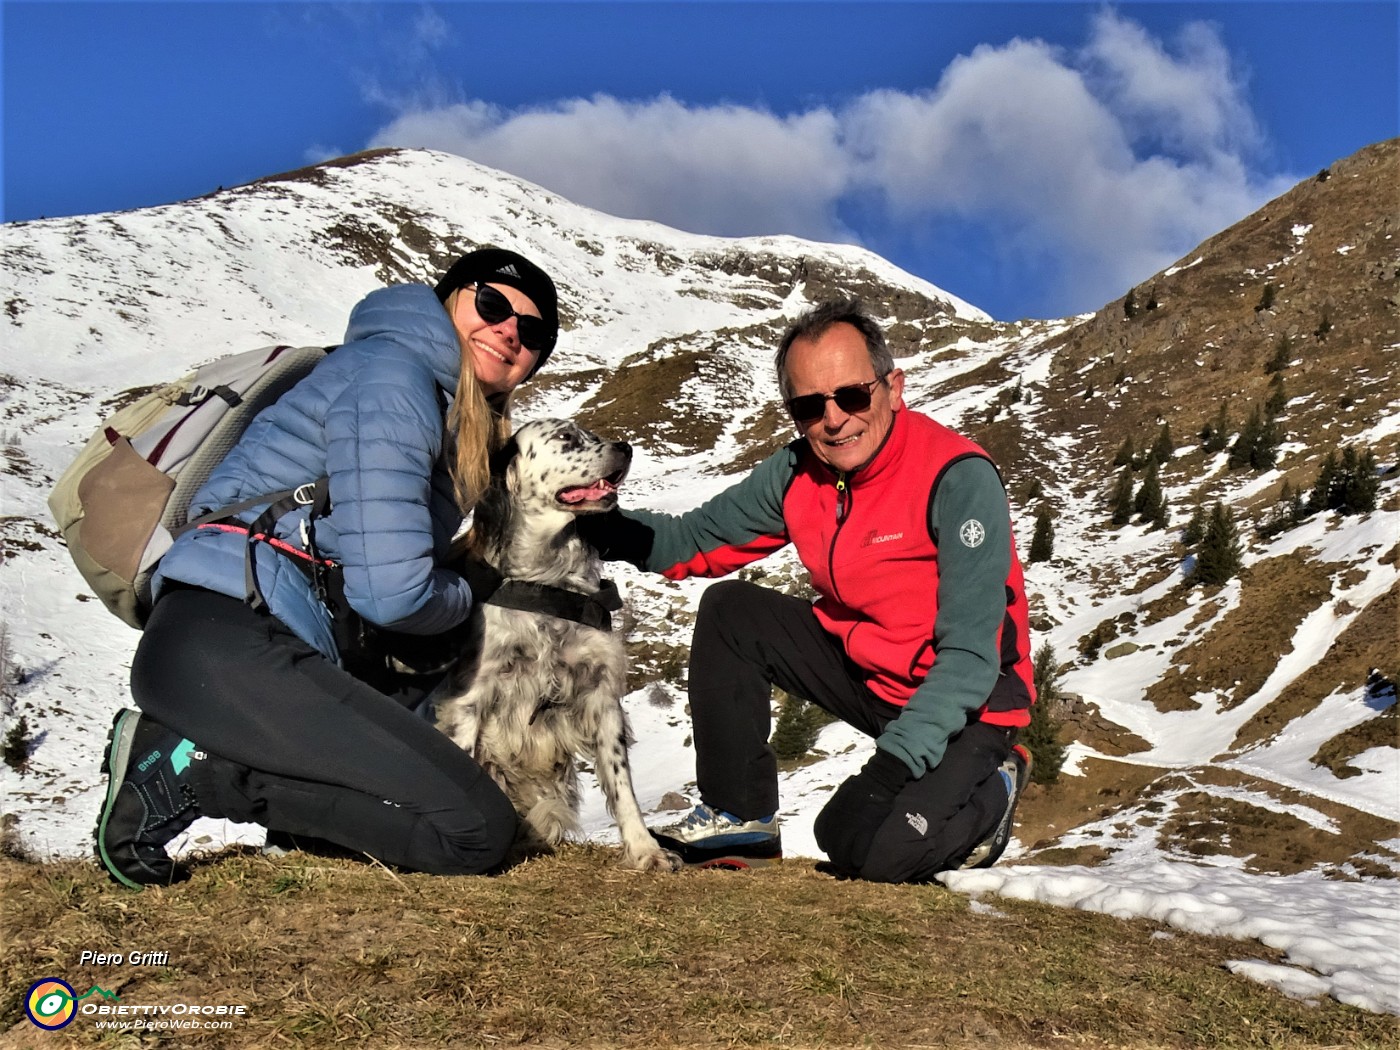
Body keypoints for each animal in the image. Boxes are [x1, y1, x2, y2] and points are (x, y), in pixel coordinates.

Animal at [431, 420, 683, 873]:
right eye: (566, 437)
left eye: (593, 435)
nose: (625, 447)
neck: (548, 581)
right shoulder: (472, 696)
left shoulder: (602, 694)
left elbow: (622, 785)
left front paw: (645, 850)